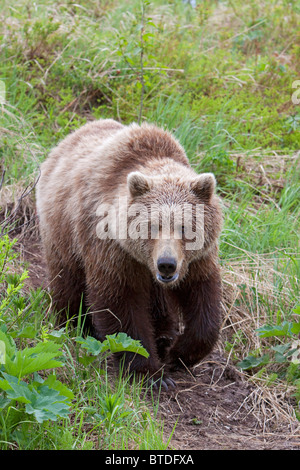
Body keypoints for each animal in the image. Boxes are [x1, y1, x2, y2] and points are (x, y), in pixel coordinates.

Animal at [35, 119, 223, 388]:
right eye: (151, 226)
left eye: (185, 227)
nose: (167, 264)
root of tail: (64, 142)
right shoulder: (111, 249)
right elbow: (121, 304)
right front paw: (152, 374)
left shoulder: (197, 260)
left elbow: (203, 297)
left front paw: (177, 354)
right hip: (63, 233)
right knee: (67, 280)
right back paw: (73, 323)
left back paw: (164, 335)